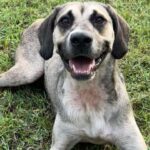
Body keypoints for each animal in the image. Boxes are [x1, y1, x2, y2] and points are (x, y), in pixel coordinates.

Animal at [0, 1, 148, 149]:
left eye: (99, 19)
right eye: (65, 20)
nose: (80, 39)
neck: (89, 94)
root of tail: (39, 20)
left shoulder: (134, 142)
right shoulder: (61, 142)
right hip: (28, 71)